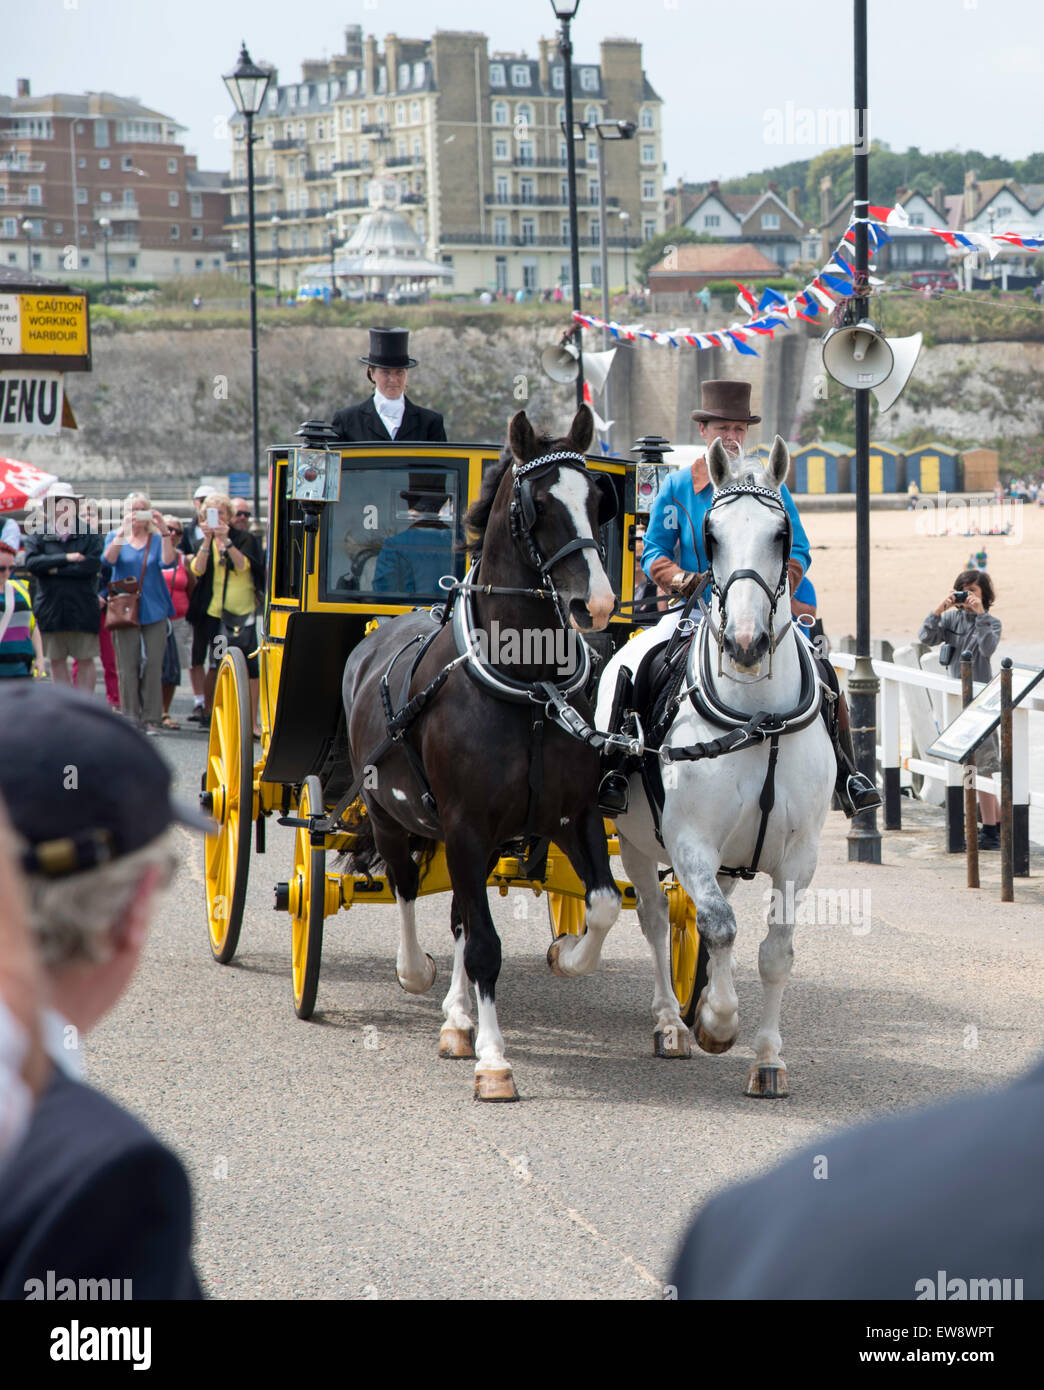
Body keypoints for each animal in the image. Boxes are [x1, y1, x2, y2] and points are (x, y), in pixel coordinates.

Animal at [340, 405, 620, 1100]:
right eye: (537, 505)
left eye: (598, 499)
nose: (596, 604)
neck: (529, 688)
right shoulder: (465, 824)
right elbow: (485, 946)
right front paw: (494, 1061)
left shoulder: (572, 816)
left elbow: (600, 905)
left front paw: (569, 955)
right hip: (392, 815)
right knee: (408, 888)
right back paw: (416, 974)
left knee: (462, 917)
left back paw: (457, 1018)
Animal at [594, 433, 834, 1095]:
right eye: (712, 534)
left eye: (781, 533)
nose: (746, 645)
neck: (759, 717)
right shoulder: (690, 841)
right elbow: (720, 927)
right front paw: (718, 1024)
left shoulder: (798, 856)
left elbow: (774, 950)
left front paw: (767, 1058)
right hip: (638, 842)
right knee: (657, 919)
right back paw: (671, 1023)